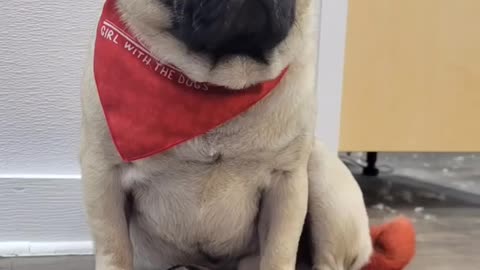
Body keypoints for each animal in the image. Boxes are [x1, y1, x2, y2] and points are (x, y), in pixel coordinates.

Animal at [80, 0, 374, 270]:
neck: (217, 86)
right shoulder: (104, 176)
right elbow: (115, 250)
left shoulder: (286, 184)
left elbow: (278, 253)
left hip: (323, 179)